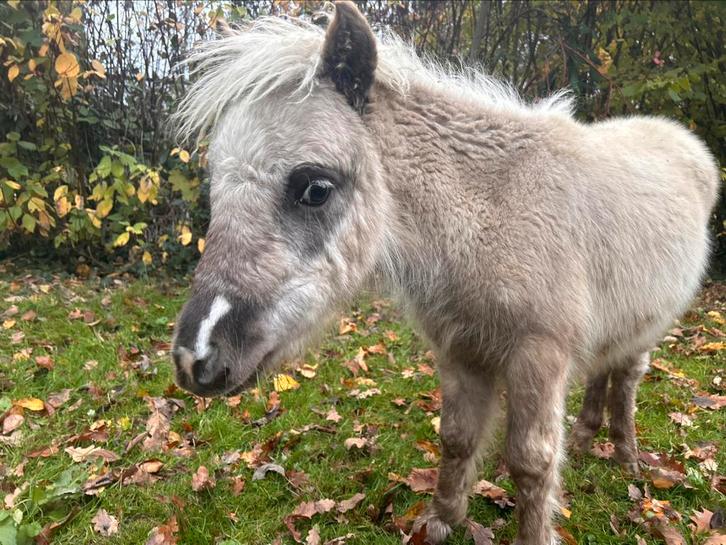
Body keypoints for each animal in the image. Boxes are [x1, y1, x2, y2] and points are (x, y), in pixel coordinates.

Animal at [170, 2, 719, 543]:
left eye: (316, 188)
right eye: (216, 189)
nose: (196, 358)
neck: (490, 216)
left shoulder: (538, 357)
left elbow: (531, 462)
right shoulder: (461, 352)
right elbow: (456, 438)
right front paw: (443, 520)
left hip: (648, 328)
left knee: (626, 378)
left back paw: (627, 456)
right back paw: (586, 440)